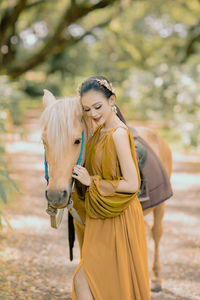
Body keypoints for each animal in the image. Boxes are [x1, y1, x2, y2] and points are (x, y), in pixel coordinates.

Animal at [40, 90, 172, 292]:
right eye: (44, 141)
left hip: (160, 207)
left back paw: (156, 279)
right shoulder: (80, 227)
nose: (55, 195)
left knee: (157, 233)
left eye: (77, 140)